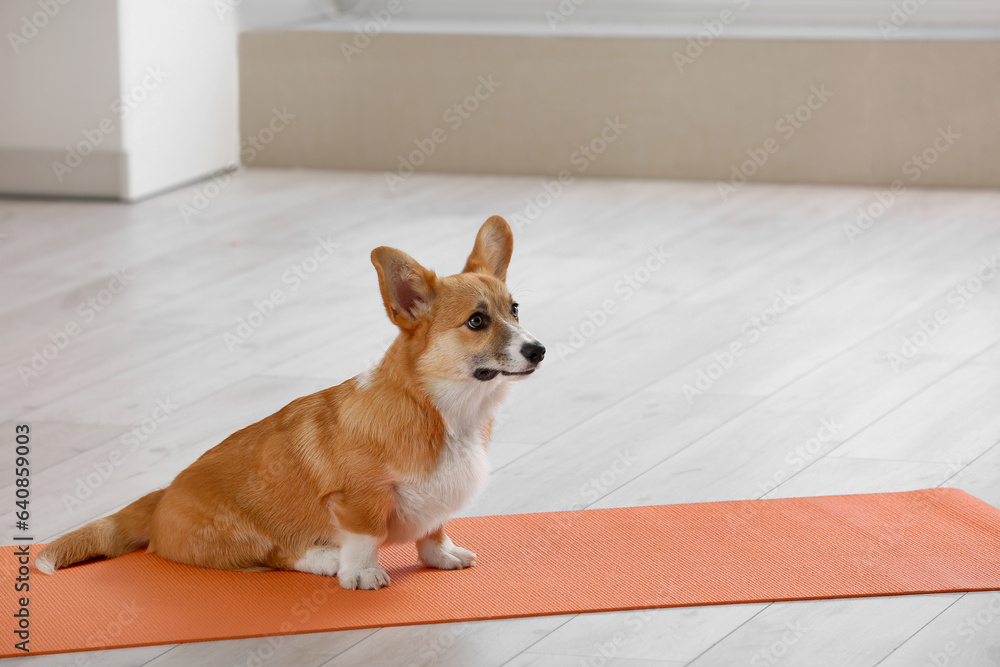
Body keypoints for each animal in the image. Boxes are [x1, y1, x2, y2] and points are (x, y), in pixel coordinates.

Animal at [35, 217, 544, 592]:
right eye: (476, 321)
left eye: (515, 309)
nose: (538, 350)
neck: (445, 409)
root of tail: (163, 495)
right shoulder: (356, 499)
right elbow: (364, 537)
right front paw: (361, 573)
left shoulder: (437, 499)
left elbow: (433, 529)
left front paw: (442, 555)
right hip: (239, 534)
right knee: (276, 553)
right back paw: (325, 559)